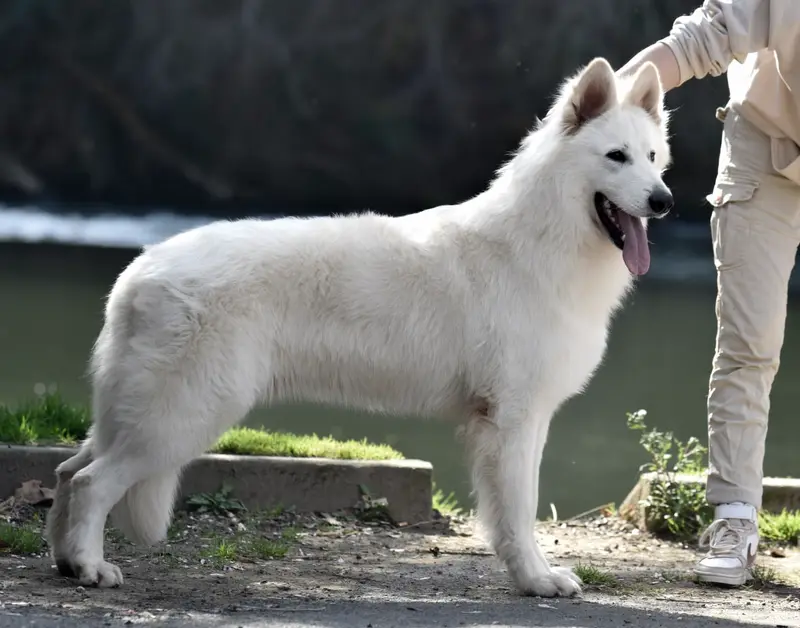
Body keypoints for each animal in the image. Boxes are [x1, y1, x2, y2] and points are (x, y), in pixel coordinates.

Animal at [46, 57, 672, 598]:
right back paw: (91, 568)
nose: (664, 200)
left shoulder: (520, 420)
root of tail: (140, 269)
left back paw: (66, 561)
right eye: (616, 157)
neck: (541, 240)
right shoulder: (512, 420)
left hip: (144, 415)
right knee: (91, 482)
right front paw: (536, 580)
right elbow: (519, 512)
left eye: (653, 156)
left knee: (66, 473)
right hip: (185, 416)